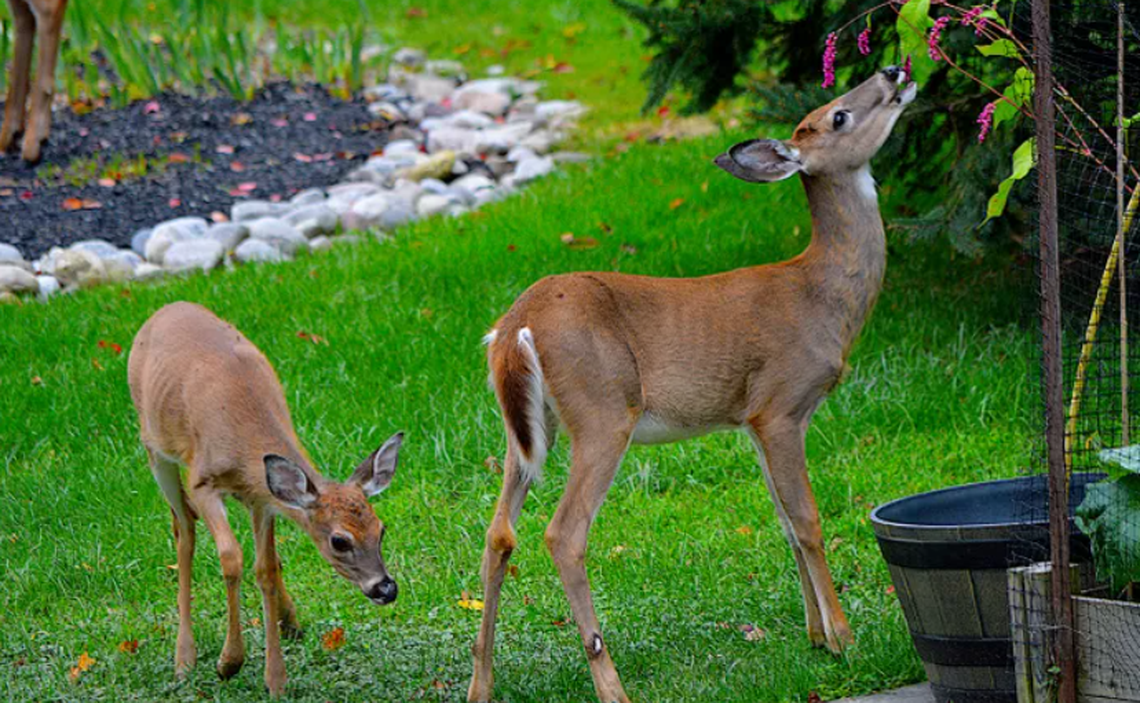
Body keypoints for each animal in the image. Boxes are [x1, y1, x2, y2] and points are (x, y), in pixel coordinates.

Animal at [128, 302, 404, 697]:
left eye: (381, 530)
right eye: (339, 541)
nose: (386, 588)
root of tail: (166, 308)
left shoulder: (264, 500)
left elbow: (267, 570)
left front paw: (275, 679)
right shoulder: (203, 481)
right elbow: (231, 559)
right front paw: (229, 663)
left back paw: (289, 621)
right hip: (154, 447)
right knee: (184, 529)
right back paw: (184, 658)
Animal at [467, 66, 917, 703]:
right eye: (839, 115)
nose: (894, 70)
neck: (822, 296)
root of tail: (513, 326)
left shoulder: (750, 419)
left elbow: (783, 520)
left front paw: (814, 636)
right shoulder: (781, 404)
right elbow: (807, 520)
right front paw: (843, 638)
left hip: (528, 431)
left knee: (498, 533)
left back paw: (481, 682)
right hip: (604, 411)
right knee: (563, 533)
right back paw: (612, 686)